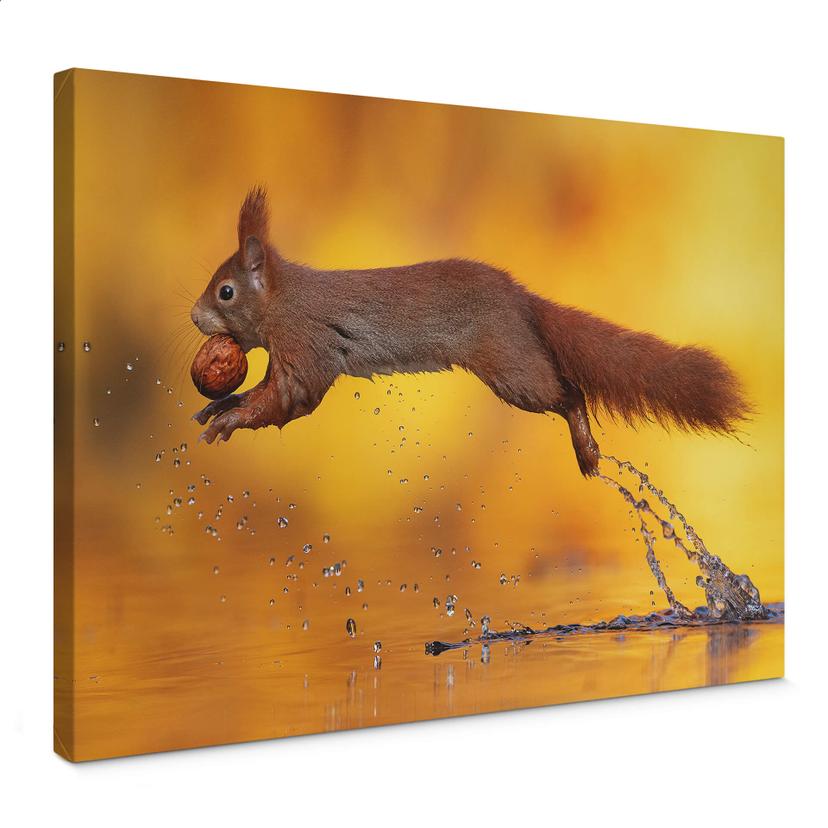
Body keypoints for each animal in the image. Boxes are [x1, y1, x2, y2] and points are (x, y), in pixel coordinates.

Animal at [191, 187, 748, 476]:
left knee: (569, 393)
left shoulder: (305, 345)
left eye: (225, 292)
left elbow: (289, 399)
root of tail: (521, 299)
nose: (195, 316)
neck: (283, 301)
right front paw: (221, 406)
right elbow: (264, 394)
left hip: (510, 365)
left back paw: (586, 448)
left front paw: (231, 419)